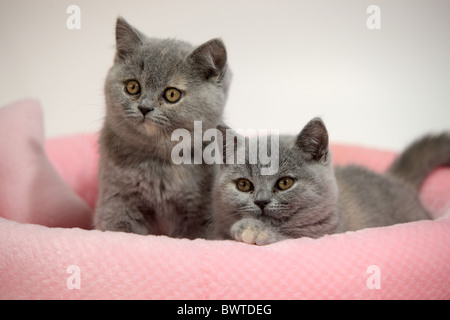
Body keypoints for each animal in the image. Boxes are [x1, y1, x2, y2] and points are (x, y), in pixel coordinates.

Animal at [93, 17, 230, 238]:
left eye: (172, 94)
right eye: (132, 86)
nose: (144, 107)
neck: (159, 162)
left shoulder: (203, 210)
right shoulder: (116, 199)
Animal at [208, 117, 450, 245]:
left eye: (285, 183)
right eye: (244, 185)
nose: (261, 201)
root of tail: (395, 179)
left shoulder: (327, 235)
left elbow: (288, 238)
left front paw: (254, 229)